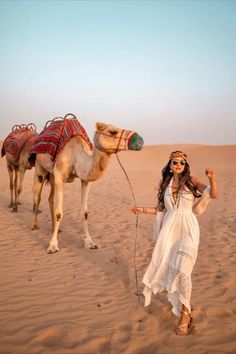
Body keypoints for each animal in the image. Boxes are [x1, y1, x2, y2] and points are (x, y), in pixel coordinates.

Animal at [30, 115, 143, 253]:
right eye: (112, 131)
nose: (140, 140)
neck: (76, 155)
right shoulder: (60, 177)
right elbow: (59, 213)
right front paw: (52, 245)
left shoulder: (85, 180)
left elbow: (84, 212)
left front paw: (89, 242)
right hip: (39, 168)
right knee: (37, 195)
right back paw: (34, 225)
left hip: (51, 175)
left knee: (50, 198)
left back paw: (54, 227)